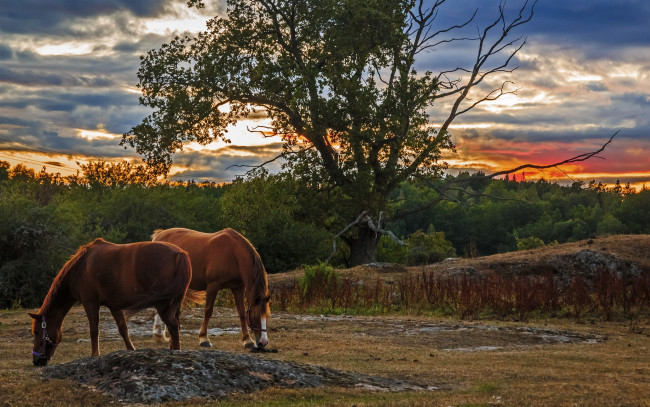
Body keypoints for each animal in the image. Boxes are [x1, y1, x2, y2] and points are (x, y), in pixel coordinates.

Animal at [29, 237, 197, 368]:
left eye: (37, 332)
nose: (37, 361)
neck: (81, 267)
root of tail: (180, 254)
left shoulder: (91, 304)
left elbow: (94, 331)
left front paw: (94, 355)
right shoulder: (114, 307)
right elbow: (123, 330)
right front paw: (131, 350)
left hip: (163, 305)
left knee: (173, 326)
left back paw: (176, 353)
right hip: (174, 305)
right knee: (176, 326)